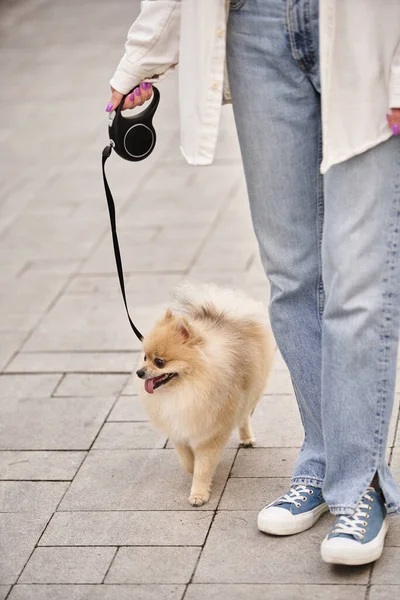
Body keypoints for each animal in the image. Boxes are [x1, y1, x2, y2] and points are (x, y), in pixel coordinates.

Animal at [135, 282, 276, 506]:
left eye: (159, 362)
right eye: (145, 357)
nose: (139, 373)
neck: (188, 387)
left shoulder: (212, 432)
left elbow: (203, 466)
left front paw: (198, 494)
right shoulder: (179, 427)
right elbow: (186, 460)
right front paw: (191, 470)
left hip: (252, 391)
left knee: (244, 415)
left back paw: (246, 438)